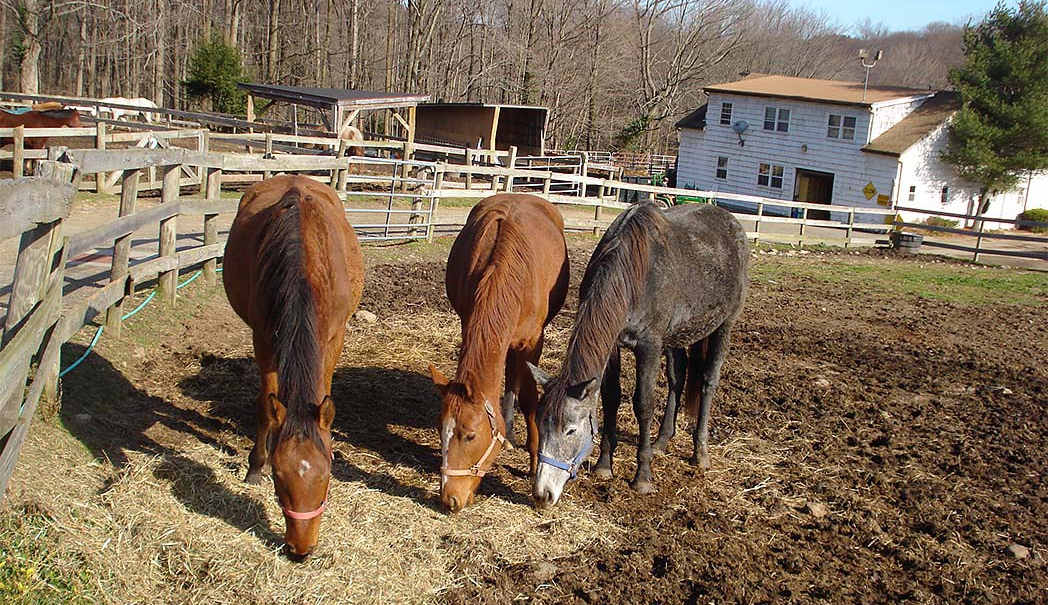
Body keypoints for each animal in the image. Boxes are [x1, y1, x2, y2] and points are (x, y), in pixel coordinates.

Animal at [223, 175, 364, 559]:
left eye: (327, 477)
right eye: (279, 478)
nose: (300, 550)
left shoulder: (334, 337)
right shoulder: (263, 337)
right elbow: (265, 405)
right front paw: (254, 466)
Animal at [428, 194, 569, 513]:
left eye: (470, 435)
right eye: (440, 429)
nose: (450, 498)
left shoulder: (532, 342)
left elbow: (530, 400)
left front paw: (534, 463)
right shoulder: (469, 324)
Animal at [528, 202, 748, 508]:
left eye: (570, 429)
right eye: (539, 422)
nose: (543, 493)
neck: (634, 275)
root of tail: (732, 222)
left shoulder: (649, 347)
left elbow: (643, 404)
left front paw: (642, 477)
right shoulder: (613, 346)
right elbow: (611, 398)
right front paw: (604, 465)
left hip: (724, 326)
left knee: (708, 382)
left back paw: (700, 453)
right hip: (676, 336)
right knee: (677, 378)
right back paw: (661, 442)